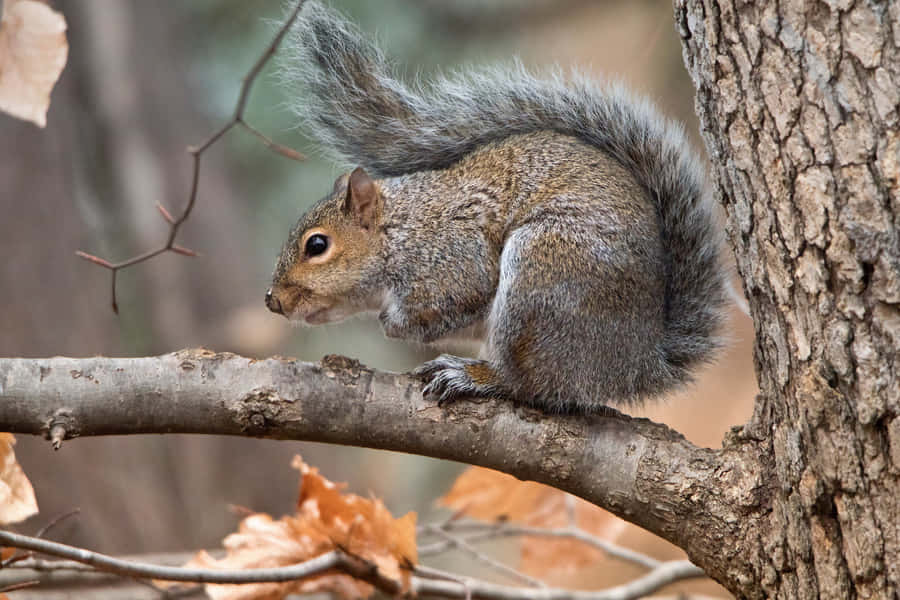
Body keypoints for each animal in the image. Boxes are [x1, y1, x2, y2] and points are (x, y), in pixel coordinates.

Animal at [265, 1, 727, 414]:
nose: (272, 300)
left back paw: (475, 376)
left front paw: (394, 323)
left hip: (543, 275)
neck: (401, 231)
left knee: (532, 384)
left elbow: (464, 294)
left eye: (317, 245)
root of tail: (636, 364)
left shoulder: (452, 257)